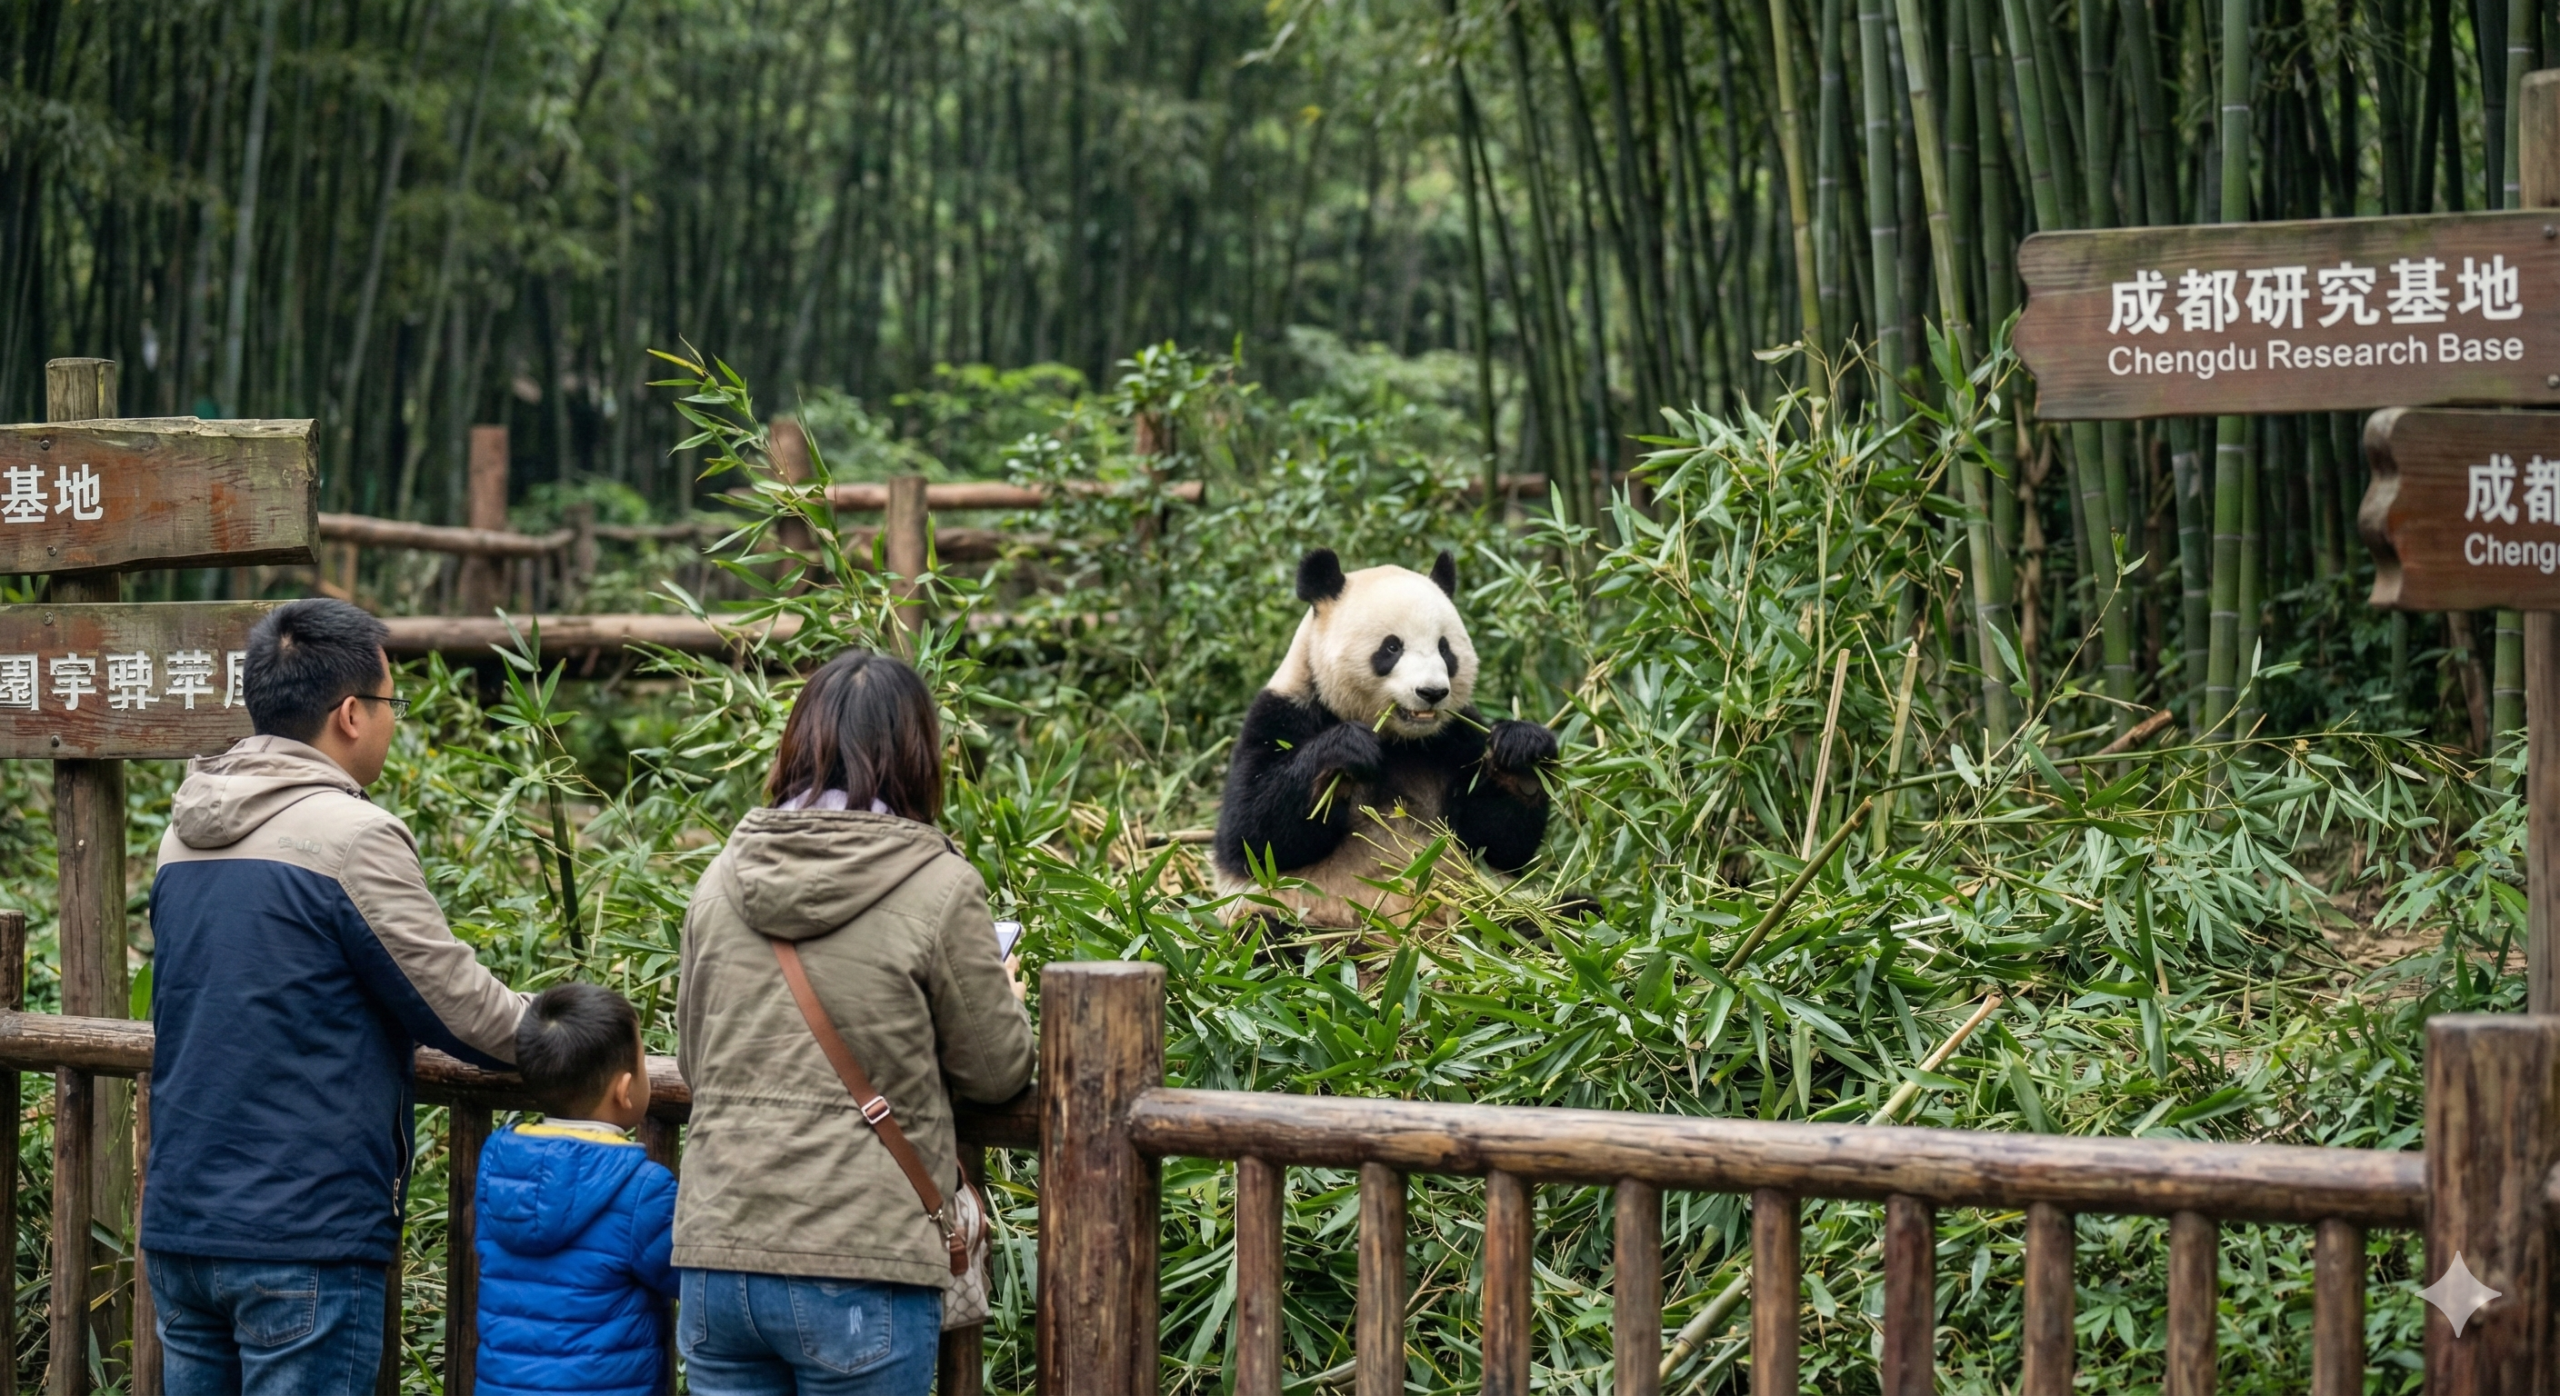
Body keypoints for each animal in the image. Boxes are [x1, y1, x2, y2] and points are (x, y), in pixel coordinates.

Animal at [1212, 546, 1560, 927]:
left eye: (1444, 648)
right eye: (1392, 647)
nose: (1432, 692)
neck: (1400, 741)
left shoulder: (1456, 736)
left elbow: (1498, 843)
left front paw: (1521, 753)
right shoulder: (1282, 713)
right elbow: (1252, 837)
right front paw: (1345, 751)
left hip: (1490, 914)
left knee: (1555, 917)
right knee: (1265, 930)